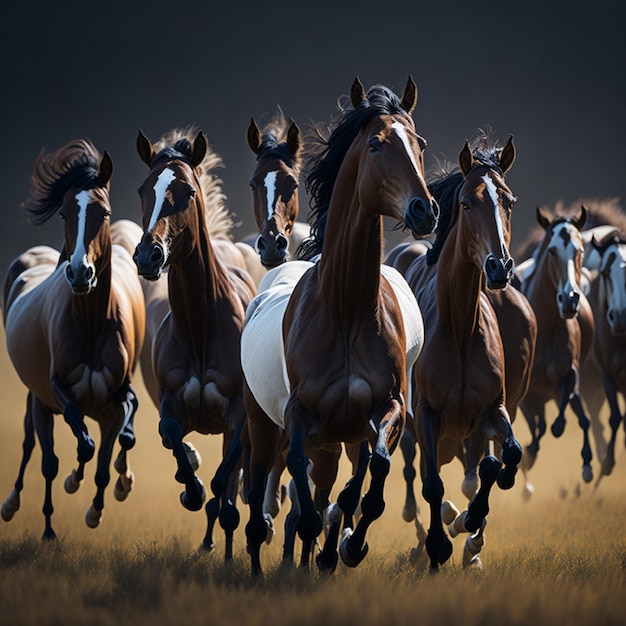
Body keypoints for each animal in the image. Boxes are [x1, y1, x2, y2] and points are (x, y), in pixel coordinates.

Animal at [0, 139, 144, 540]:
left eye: (105, 212)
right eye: (65, 213)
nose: (81, 272)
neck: (92, 322)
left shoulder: (118, 395)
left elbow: (112, 448)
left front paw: (99, 505)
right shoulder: (56, 388)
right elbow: (81, 442)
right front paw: (73, 482)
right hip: (37, 398)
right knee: (37, 448)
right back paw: (28, 513)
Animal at [133, 125, 256, 556]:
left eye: (186, 190)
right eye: (144, 189)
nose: (148, 256)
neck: (201, 327)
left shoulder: (238, 415)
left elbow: (226, 483)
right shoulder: (172, 401)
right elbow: (171, 437)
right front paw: (191, 488)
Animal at [241, 75, 436, 572]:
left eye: (420, 143)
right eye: (375, 143)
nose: (425, 210)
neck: (345, 309)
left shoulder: (384, 408)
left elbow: (370, 478)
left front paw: (349, 546)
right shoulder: (298, 415)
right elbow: (299, 485)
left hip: (337, 439)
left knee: (336, 484)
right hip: (261, 424)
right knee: (257, 490)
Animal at [400, 133, 520, 572]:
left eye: (508, 201)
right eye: (467, 202)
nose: (500, 266)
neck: (461, 329)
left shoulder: (490, 411)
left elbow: (505, 459)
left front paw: (470, 523)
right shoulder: (427, 415)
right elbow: (432, 484)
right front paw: (439, 545)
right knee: (415, 474)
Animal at [512, 206, 596, 488]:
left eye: (580, 250)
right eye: (552, 250)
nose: (569, 299)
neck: (546, 327)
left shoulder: (570, 373)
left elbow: (560, 422)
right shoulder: (525, 392)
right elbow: (536, 429)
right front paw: (527, 458)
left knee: (579, 415)